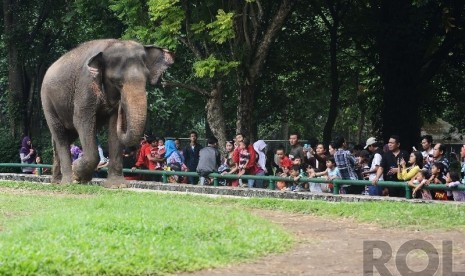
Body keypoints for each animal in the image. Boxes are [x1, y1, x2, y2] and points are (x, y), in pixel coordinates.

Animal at [40, 38, 173, 187]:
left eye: (146, 80)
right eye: (118, 82)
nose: (121, 104)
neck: (111, 44)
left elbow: (114, 126)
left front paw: (117, 185)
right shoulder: (85, 84)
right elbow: (81, 120)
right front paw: (77, 173)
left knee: (65, 137)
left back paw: (58, 181)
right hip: (47, 102)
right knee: (60, 135)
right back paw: (68, 182)